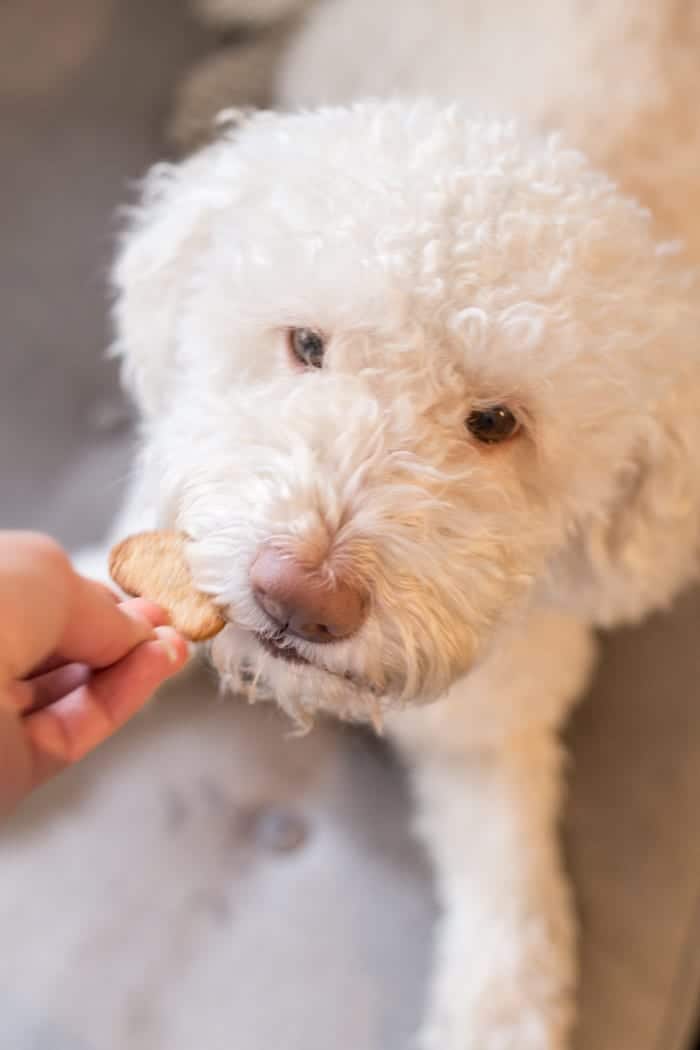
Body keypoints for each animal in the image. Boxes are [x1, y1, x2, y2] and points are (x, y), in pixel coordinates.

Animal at [102, 4, 700, 1045]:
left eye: (496, 423)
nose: (300, 599)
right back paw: (227, 78)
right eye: (306, 344)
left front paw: (497, 1015)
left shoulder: (494, 728)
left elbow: (513, 913)